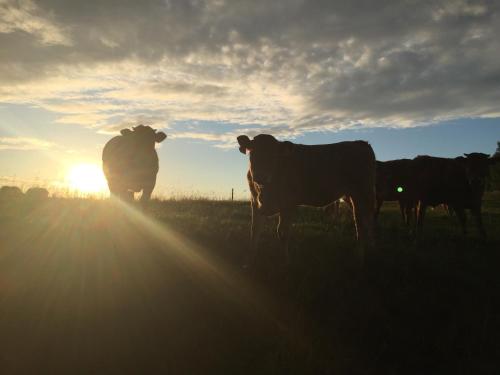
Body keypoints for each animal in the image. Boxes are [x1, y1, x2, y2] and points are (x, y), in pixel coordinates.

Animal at [238, 134, 376, 266]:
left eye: (274, 155)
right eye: (252, 152)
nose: (261, 176)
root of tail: (361, 143)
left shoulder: (288, 204)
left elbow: (282, 232)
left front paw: (285, 262)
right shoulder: (255, 203)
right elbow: (254, 232)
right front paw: (250, 261)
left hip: (362, 194)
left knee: (362, 226)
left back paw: (360, 259)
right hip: (349, 196)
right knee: (368, 223)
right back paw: (370, 251)